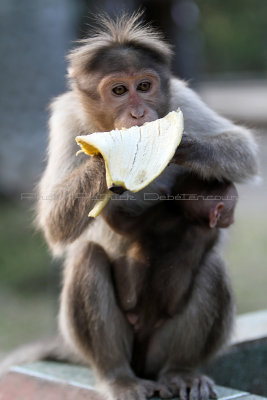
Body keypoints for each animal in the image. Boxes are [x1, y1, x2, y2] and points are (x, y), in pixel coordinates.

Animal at [35, 12, 258, 400]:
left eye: (144, 86)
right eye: (119, 91)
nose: (139, 113)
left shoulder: (180, 96)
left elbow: (243, 148)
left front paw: (182, 143)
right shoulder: (65, 118)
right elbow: (54, 223)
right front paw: (105, 157)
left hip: (160, 350)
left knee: (212, 266)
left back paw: (182, 373)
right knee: (87, 258)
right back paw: (118, 376)